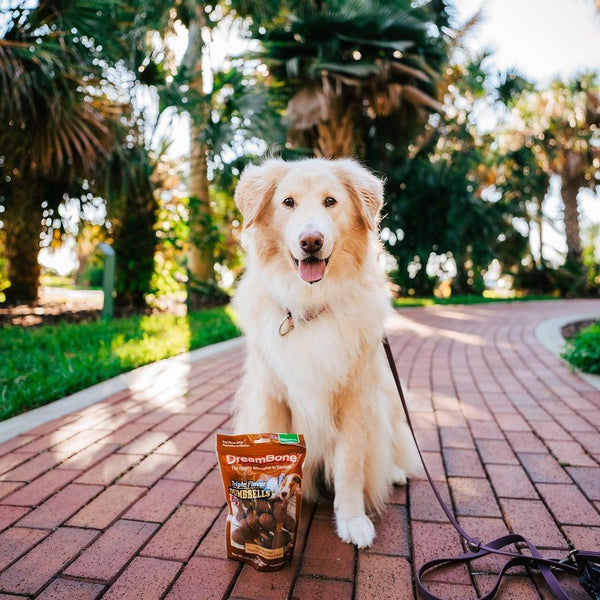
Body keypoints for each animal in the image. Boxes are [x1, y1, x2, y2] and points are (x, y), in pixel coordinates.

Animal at [231, 157, 422, 548]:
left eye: (331, 202)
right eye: (288, 202)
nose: (311, 241)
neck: (309, 306)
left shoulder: (355, 401)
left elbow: (350, 466)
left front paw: (352, 520)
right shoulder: (272, 398)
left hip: (390, 400)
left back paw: (395, 472)